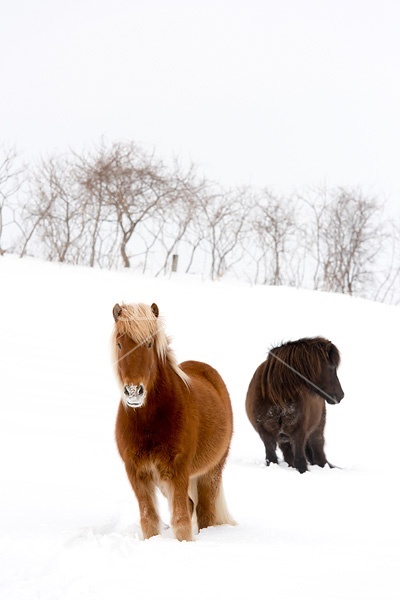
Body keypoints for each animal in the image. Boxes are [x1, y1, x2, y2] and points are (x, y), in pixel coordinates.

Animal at [111, 302, 236, 540]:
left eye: (149, 343)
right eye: (120, 343)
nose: (134, 391)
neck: (149, 423)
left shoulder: (178, 469)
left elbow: (181, 522)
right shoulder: (137, 472)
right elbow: (149, 520)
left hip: (210, 473)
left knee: (205, 513)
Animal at [247, 338, 344, 474]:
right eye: (332, 367)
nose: (340, 395)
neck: (276, 397)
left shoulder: (298, 434)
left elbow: (300, 462)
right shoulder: (266, 435)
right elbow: (272, 459)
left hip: (316, 432)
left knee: (319, 456)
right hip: (284, 439)